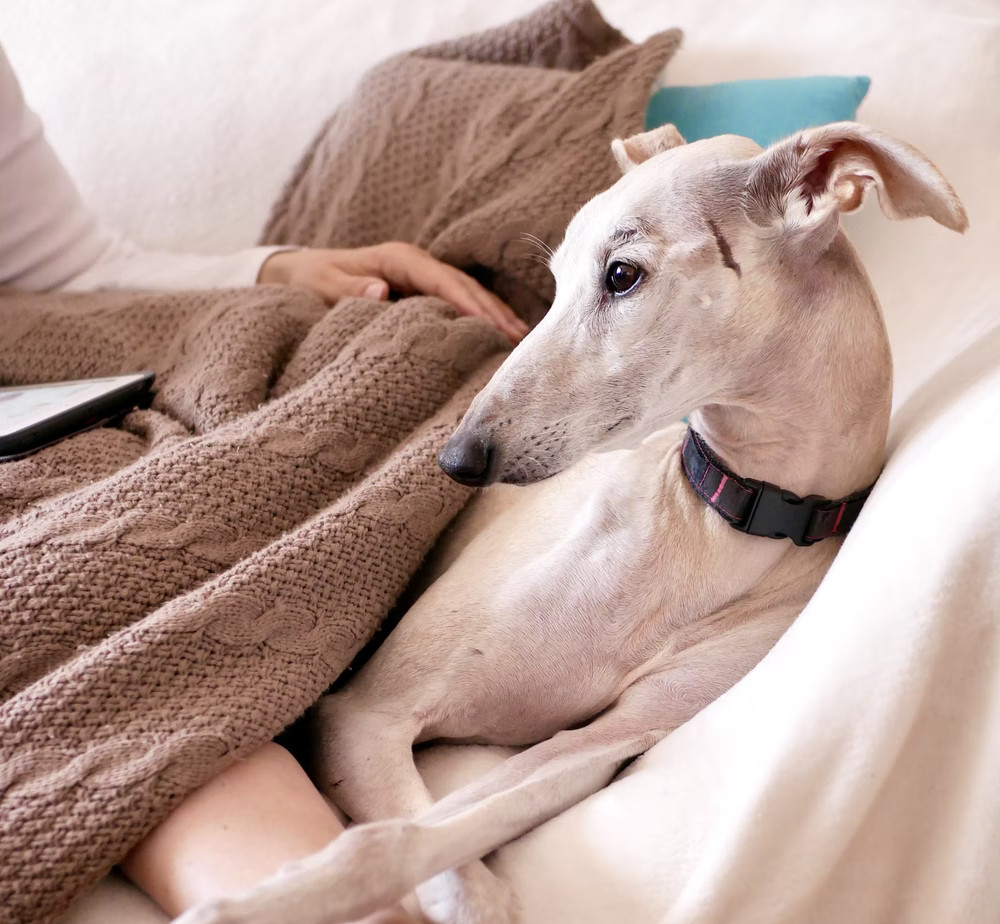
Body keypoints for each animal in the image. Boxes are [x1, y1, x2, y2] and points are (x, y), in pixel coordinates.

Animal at [184, 122, 964, 924]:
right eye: (555, 281)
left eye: (620, 275)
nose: (457, 458)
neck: (711, 526)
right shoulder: (364, 713)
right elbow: (406, 837)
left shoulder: (610, 740)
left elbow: (431, 835)